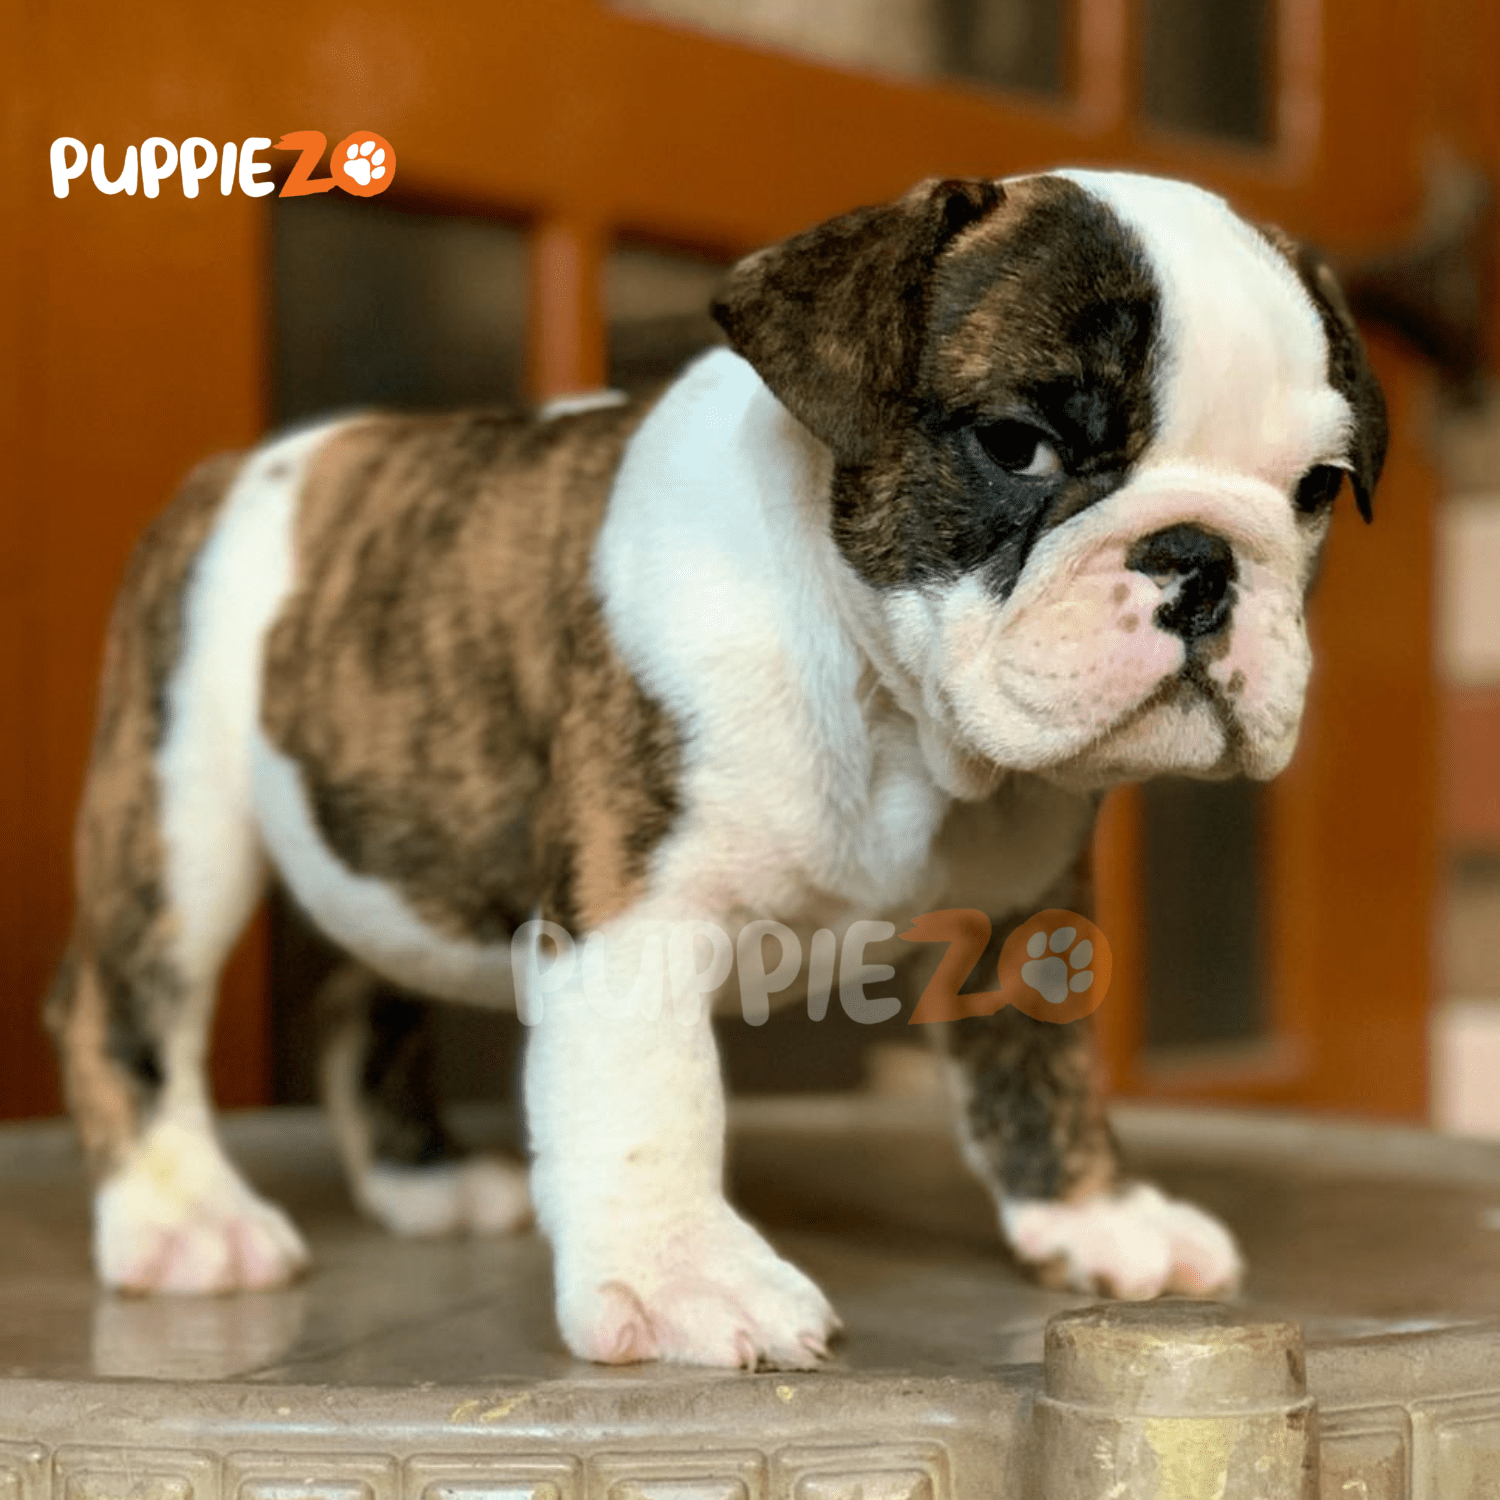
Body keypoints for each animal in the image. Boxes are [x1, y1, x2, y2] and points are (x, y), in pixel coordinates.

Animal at [46, 169, 1385, 1369]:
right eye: (1021, 446)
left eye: (1316, 490)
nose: (1202, 559)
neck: (898, 720)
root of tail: (253, 466)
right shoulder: (636, 914)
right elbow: (654, 1103)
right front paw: (683, 1277)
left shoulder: (1028, 913)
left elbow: (1039, 1067)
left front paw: (1095, 1214)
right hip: (180, 812)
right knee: (125, 1002)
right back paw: (184, 1216)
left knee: (361, 995)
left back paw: (417, 1178)